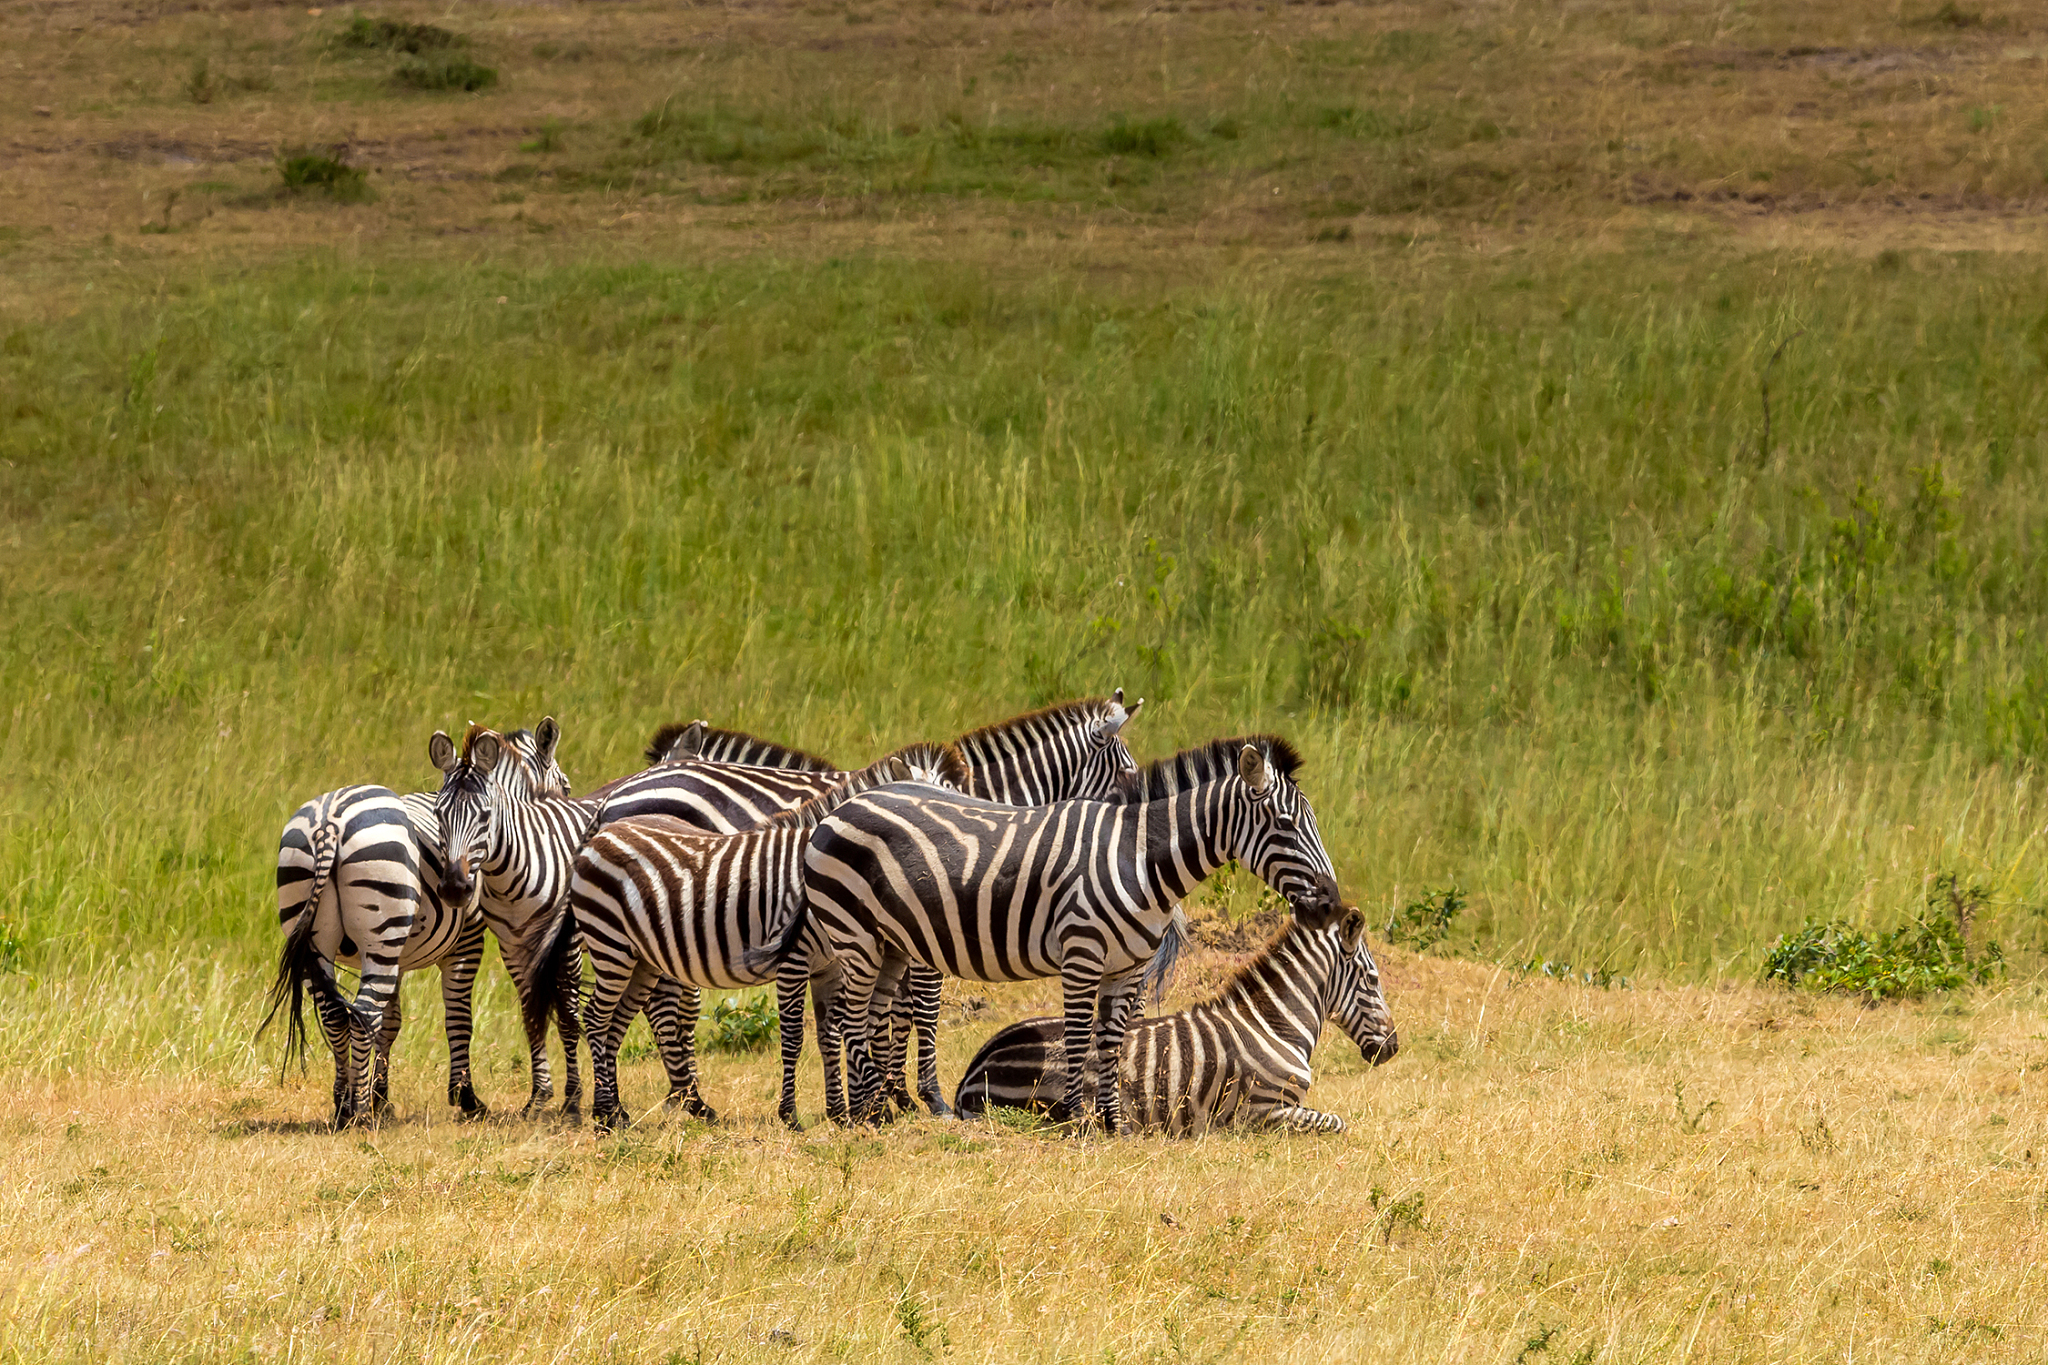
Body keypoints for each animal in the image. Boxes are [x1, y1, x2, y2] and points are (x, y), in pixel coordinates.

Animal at [261, 725, 547, 1127]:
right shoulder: (466, 943)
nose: (455, 890)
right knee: (362, 1014)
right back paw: (357, 1113)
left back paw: (343, 1105)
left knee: (337, 1016)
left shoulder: (394, 954)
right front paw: (465, 1097)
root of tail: (329, 821)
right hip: (381, 929)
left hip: (322, 935)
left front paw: (381, 1098)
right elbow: (459, 1018)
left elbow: (390, 1021)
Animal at [531, 742, 973, 1131]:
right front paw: (791, 1116)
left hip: (641, 958)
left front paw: (840, 1114)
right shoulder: (793, 961)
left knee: (617, 1022)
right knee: (597, 1018)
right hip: (611, 945)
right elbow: (794, 1037)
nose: (942, 874)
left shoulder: (828, 965)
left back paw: (619, 1112)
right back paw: (608, 1114)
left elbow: (830, 1036)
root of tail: (599, 833)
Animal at [801, 735, 1344, 1130]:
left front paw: (1114, 1125)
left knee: (873, 1015)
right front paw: (1078, 1120)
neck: (1138, 858)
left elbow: (1114, 1043)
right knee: (850, 1019)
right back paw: (863, 1116)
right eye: (1285, 824)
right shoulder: (1082, 955)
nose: (1330, 906)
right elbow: (1081, 1041)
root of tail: (841, 807)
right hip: (854, 935)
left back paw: (878, 1110)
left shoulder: (1128, 968)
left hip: (889, 941)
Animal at [953, 906, 1399, 1134]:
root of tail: (977, 1063)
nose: (1393, 1048)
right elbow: (1337, 1123)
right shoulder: (1259, 1113)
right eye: (1373, 979)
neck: (1273, 1026)